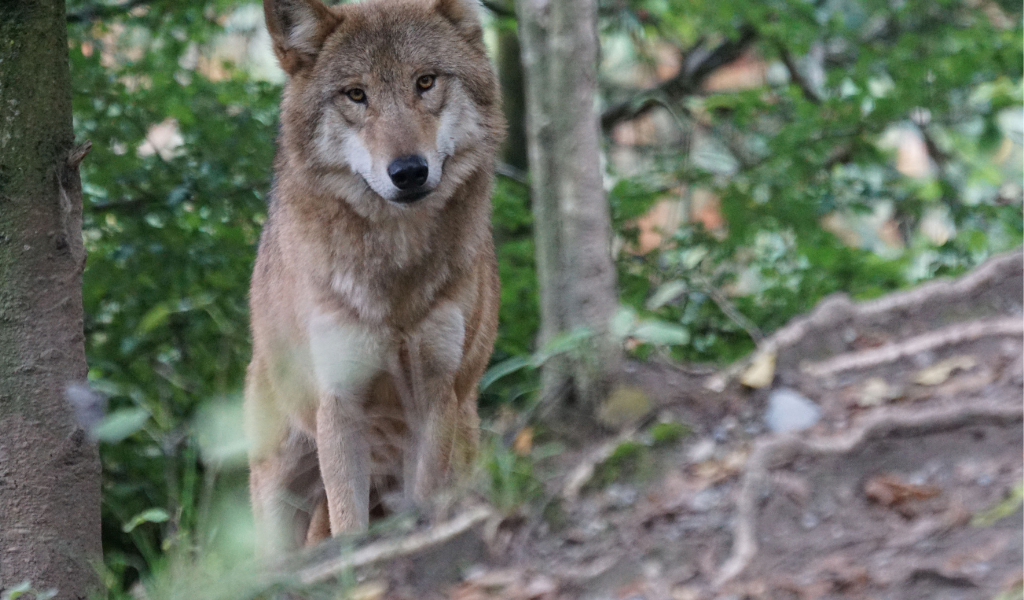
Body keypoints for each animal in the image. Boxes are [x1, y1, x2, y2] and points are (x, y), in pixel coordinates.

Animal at [245, 0, 505, 552]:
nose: (408, 171)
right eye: (356, 94)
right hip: (279, 489)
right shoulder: (340, 405)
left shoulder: (435, 393)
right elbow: (349, 522)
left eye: (425, 82)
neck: (396, 277)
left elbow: (425, 498)